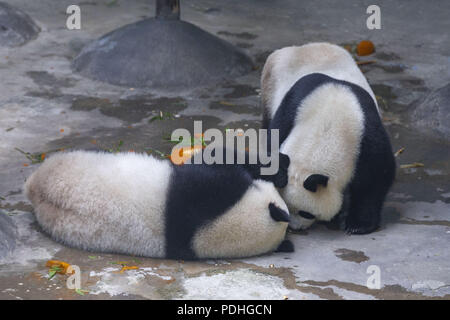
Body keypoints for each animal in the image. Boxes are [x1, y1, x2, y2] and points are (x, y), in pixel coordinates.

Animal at [262, 42, 396, 235]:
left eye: (306, 213)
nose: (295, 228)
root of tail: (306, 46)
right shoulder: (291, 109)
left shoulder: (366, 133)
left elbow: (375, 177)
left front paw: (357, 225)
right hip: (270, 87)